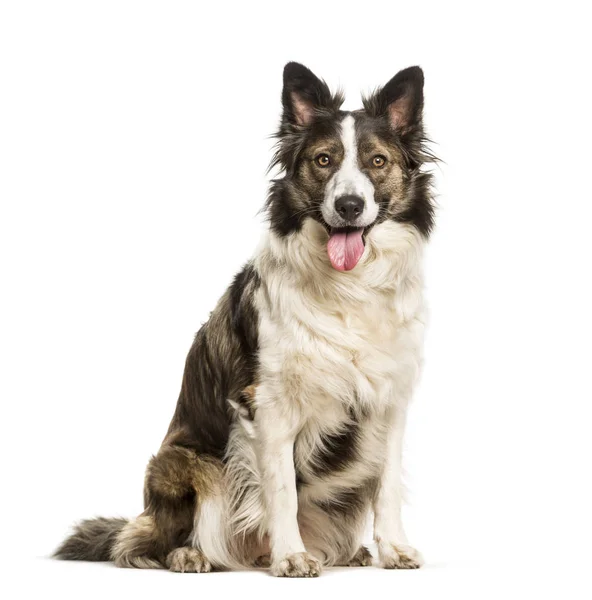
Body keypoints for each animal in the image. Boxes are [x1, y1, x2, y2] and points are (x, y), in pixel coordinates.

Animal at [55, 61, 434, 576]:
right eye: (323, 160)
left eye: (377, 162)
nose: (349, 206)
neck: (347, 288)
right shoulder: (268, 406)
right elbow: (282, 491)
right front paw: (290, 555)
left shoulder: (390, 402)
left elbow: (387, 485)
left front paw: (393, 548)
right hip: (183, 462)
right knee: (145, 541)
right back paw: (193, 553)